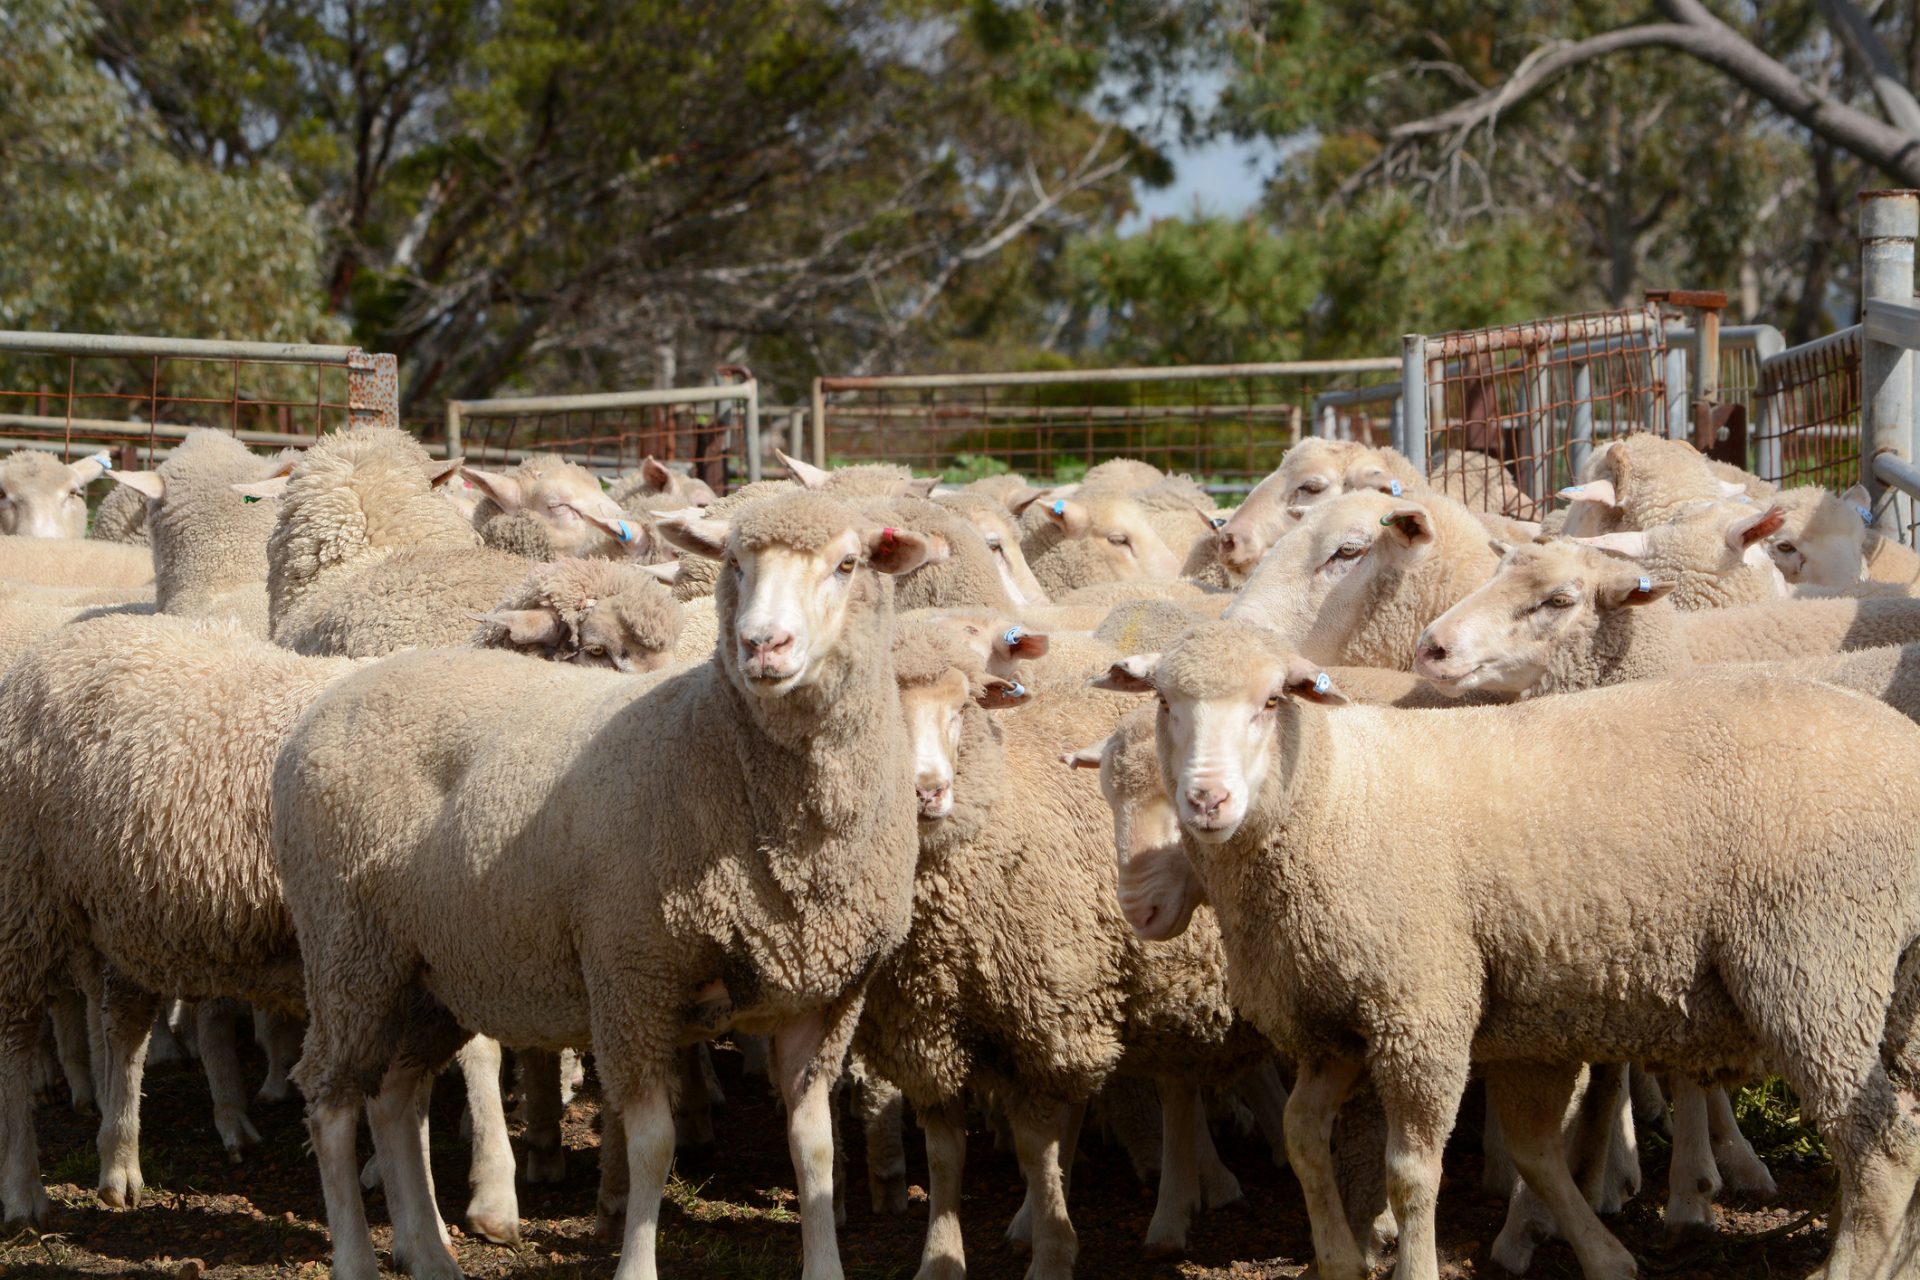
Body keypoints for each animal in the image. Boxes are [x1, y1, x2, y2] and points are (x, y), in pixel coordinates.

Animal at [268, 495, 929, 1280]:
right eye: (735, 562)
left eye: (847, 564)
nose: (761, 645)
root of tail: (331, 698)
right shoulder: (632, 976)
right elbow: (652, 1146)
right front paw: (636, 1262)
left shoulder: (821, 997)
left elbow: (814, 1148)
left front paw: (823, 1263)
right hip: (347, 947)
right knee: (330, 1102)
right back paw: (359, 1256)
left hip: (431, 969)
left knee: (397, 1098)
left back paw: (431, 1255)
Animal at [860, 617, 1274, 1274]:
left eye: (962, 707)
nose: (927, 793)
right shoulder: (929, 1033)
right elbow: (946, 1156)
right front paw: (941, 1258)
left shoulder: (1041, 1018)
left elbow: (1035, 1146)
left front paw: (1053, 1255)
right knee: (1157, 1085)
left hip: (1147, 976)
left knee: (1174, 1087)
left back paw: (1173, 1208)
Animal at [1105, 625, 1920, 1280]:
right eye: (1166, 703)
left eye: (1273, 702)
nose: (1207, 802)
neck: (1337, 795)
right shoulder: (1334, 1024)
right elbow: (1312, 1139)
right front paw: (1340, 1260)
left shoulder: (1422, 1010)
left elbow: (1413, 1173)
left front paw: (1417, 1268)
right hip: (1892, 984)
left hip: (1816, 964)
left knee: (1879, 1149)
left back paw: (1846, 1268)